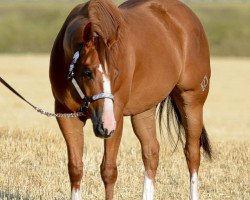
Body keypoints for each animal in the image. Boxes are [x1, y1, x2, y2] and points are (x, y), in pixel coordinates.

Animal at [48, 0, 211, 199]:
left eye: (116, 72)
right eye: (87, 72)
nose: (105, 124)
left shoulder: (116, 116)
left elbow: (108, 171)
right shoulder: (66, 116)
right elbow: (75, 168)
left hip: (192, 101)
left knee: (192, 153)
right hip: (144, 109)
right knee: (151, 152)